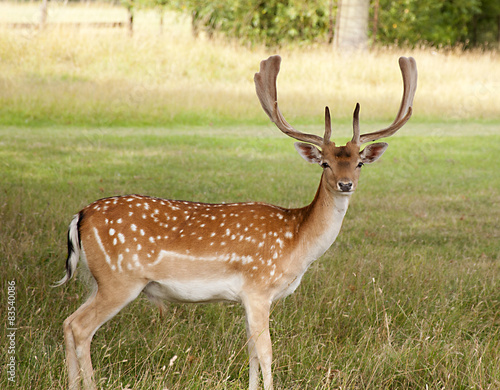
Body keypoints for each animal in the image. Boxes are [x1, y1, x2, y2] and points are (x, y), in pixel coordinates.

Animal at [54, 55, 418, 390]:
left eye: (359, 163)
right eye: (325, 163)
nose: (345, 184)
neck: (296, 241)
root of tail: (80, 216)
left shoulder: (246, 297)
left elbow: (251, 351)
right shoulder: (259, 287)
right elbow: (267, 352)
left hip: (99, 279)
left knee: (68, 323)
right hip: (119, 279)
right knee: (81, 327)